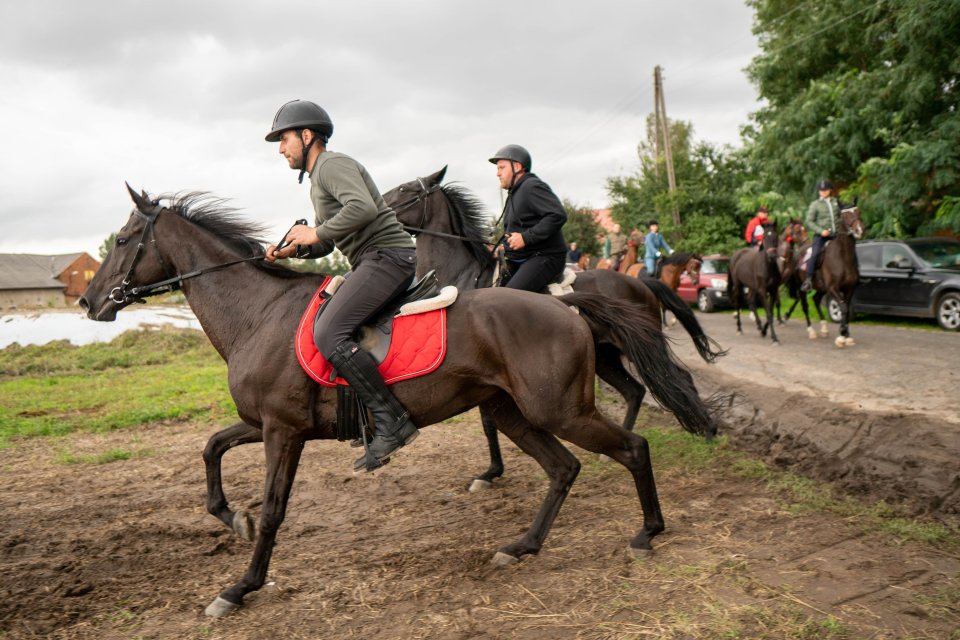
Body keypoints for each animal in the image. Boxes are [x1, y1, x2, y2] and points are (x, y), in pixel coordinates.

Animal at [79, 184, 704, 616]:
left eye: (122, 241)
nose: (88, 301)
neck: (258, 312)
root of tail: (566, 302)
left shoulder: (282, 431)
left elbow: (275, 508)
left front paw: (239, 587)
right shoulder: (267, 422)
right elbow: (211, 449)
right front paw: (231, 518)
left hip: (561, 410)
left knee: (631, 445)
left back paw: (647, 532)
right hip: (513, 410)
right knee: (564, 467)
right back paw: (522, 545)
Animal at [378, 166, 724, 490]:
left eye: (406, 189)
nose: (381, 203)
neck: (465, 274)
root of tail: (641, 282)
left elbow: (489, 422)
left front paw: (492, 472)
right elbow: (491, 421)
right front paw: (492, 471)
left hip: (636, 346)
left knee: (678, 378)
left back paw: (707, 431)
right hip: (605, 356)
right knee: (635, 390)